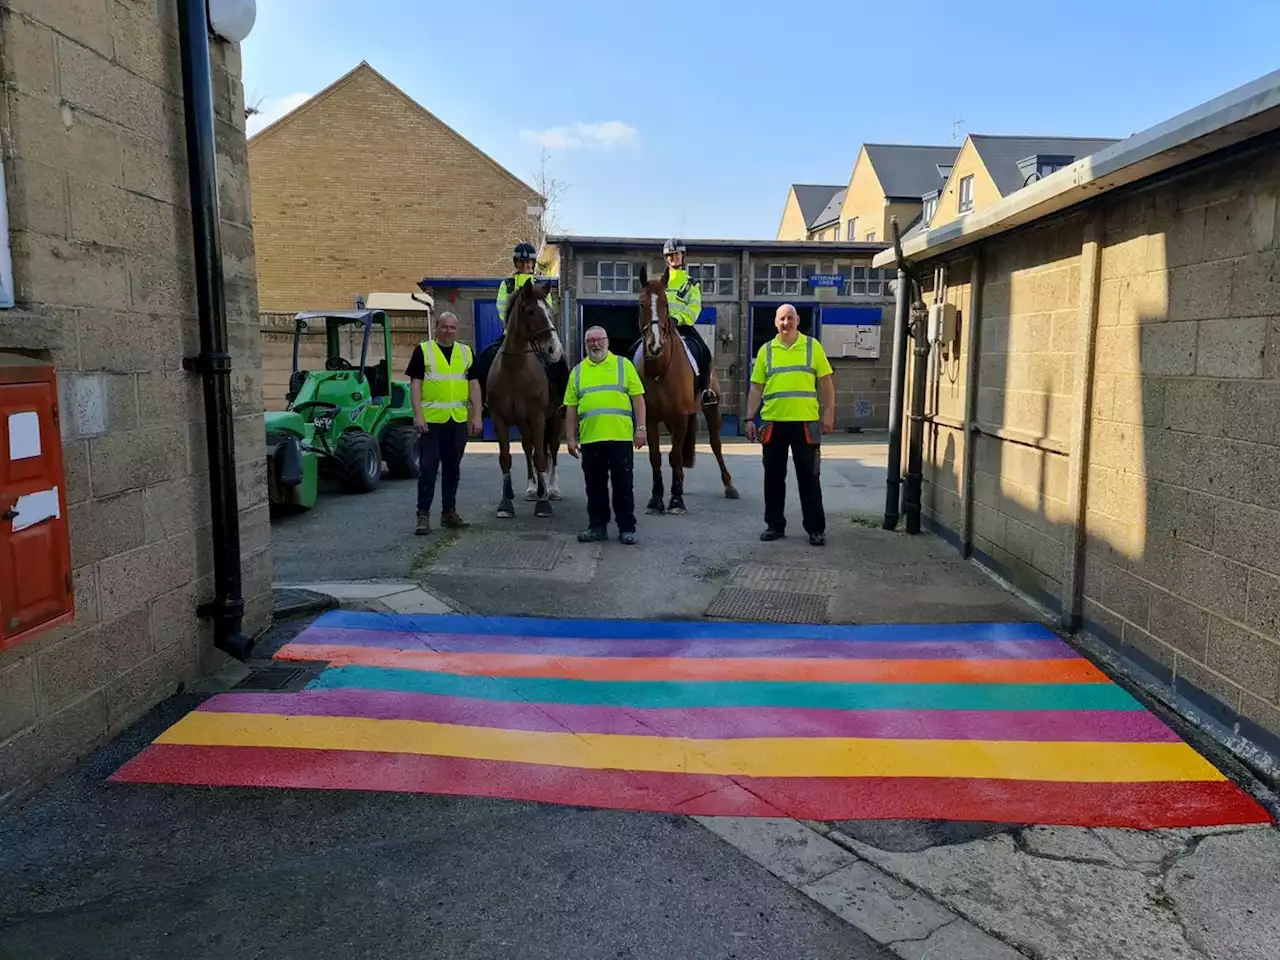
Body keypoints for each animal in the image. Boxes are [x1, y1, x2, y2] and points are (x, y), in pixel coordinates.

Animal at [486, 280, 563, 519]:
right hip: (523, 423)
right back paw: (533, 489)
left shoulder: (537, 417)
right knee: (529, 448)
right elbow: (506, 457)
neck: (514, 371)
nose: (554, 350)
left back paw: (552, 489)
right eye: (530, 311)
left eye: (550, 312)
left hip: (554, 418)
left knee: (552, 450)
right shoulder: (499, 419)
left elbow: (542, 457)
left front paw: (543, 504)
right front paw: (505, 503)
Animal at [632, 276, 737, 519]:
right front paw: (657, 499)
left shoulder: (680, 417)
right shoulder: (651, 419)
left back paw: (729, 486)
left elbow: (674, 457)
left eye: (665, 304)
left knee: (715, 445)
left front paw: (676, 500)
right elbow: (656, 457)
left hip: (710, 410)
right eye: (641, 304)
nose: (655, 345)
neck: (660, 371)